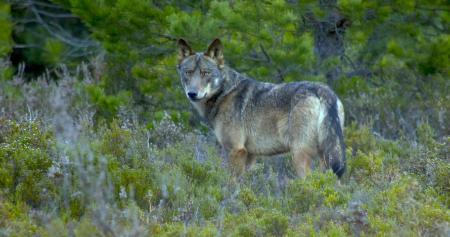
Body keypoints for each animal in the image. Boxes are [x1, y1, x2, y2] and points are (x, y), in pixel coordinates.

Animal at [175, 38, 344, 177]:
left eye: (205, 73)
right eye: (188, 72)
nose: (192, 93)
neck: (224, 93)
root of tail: (324, 90)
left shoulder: (235, 150)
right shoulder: (250, 155)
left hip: (299, 156)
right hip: (326, 158)